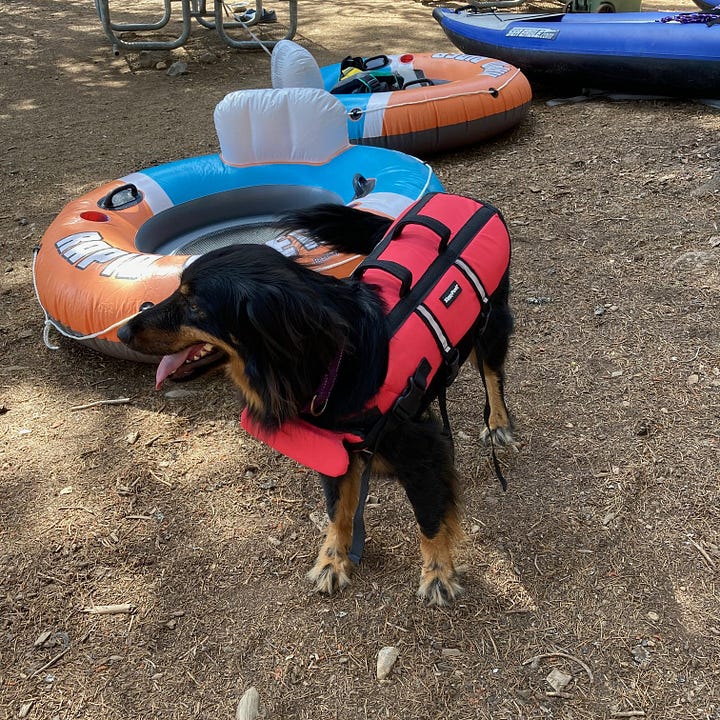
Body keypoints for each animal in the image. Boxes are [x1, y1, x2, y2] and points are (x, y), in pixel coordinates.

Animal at [116, 201, 512, 600]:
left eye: (195, 304)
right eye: (177, 290)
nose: (122, 332)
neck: (333, 362)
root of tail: (461, 200)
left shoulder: (422, 448)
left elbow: (429, 518)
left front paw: (438, 574)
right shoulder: (332, 449)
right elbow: (338, 511)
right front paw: (333, 561)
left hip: (491, 327)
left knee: (493, 375)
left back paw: (498, 424)